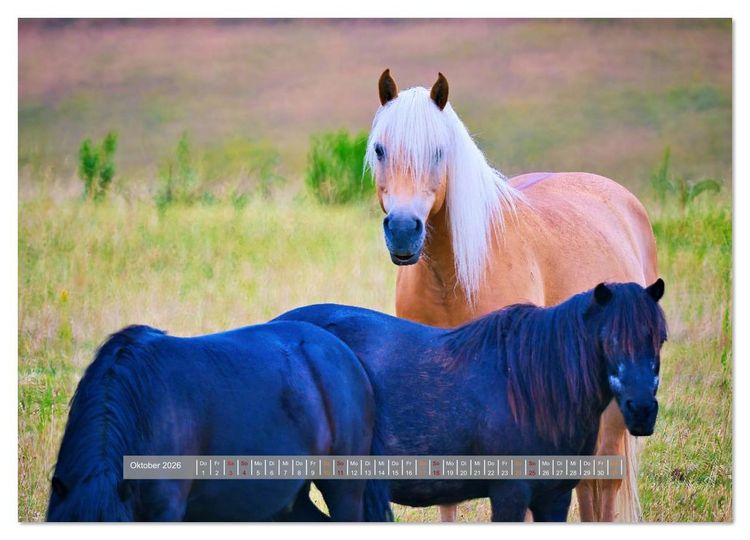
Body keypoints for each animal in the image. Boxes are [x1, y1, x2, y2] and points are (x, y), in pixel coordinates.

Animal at [276, 280, 666, 522]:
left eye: (660, 338)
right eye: (609, 339)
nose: (642, 411)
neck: (532, 387)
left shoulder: (555, 496)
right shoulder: (510, 493)